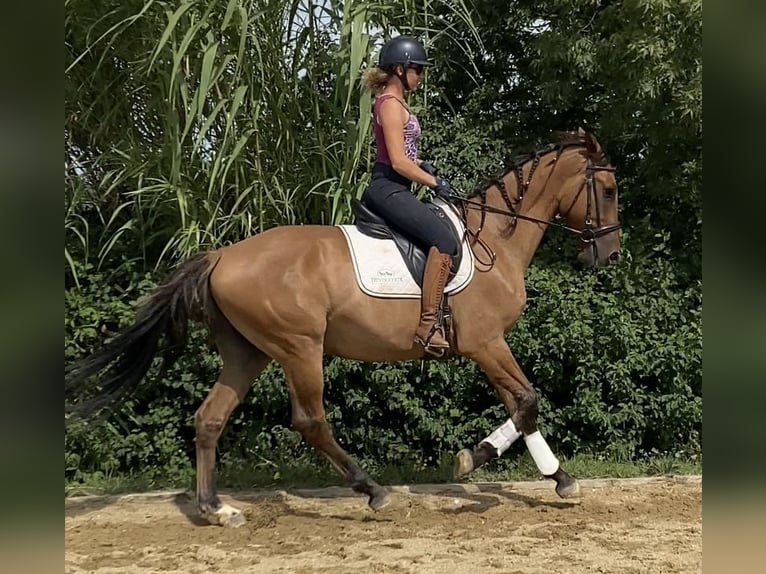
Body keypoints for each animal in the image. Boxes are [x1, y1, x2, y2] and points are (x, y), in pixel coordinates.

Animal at [64, 128, 616, 528]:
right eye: (608, 190)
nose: (608, 255)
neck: (494, 240)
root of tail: (221, 255)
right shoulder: (486, 343)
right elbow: (527, 402)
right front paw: (531, 472)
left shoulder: (488, 347)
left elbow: (520, 406)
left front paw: (517, 467)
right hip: (299, 348)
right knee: (310, 420)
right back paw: (373, 491)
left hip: (247, 353)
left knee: (209, 418)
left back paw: (217, 509)